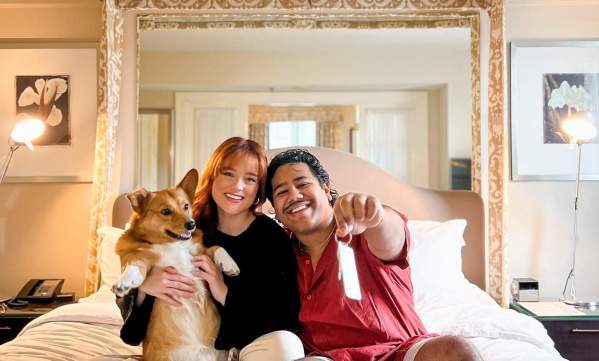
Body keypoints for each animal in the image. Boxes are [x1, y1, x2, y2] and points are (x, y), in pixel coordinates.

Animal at [112, 169, 239, 360]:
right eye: (166, 211)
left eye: (186, 206)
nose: (191, 224)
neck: (173, 244)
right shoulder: (139, 258)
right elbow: (134, 267)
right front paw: (124, 283)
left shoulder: (200, 253)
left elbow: (217, 247)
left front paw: (230, 265)